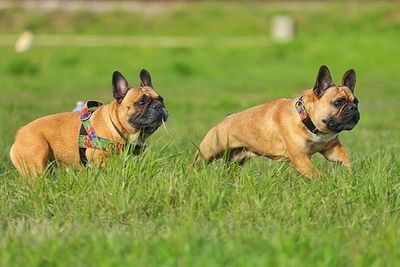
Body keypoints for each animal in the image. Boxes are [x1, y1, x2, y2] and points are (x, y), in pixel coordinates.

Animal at [10, 70, 167, 177]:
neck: (117, 127)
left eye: (161, 99)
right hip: (36, 162)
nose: (158, 106)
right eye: (141, 102)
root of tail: (20, 131)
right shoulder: (100, 158)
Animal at [195, 65, 360, 179]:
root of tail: (226, 119)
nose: (353, 108)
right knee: (197, 163)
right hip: (208, 152)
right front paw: (327, 182)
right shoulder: (301, 158)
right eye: (338, 102)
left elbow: (345, 159)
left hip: (237, 158)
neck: (309, 122)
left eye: (356, 102)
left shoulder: (331, 148)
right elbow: (316, 174)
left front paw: (351, 174)